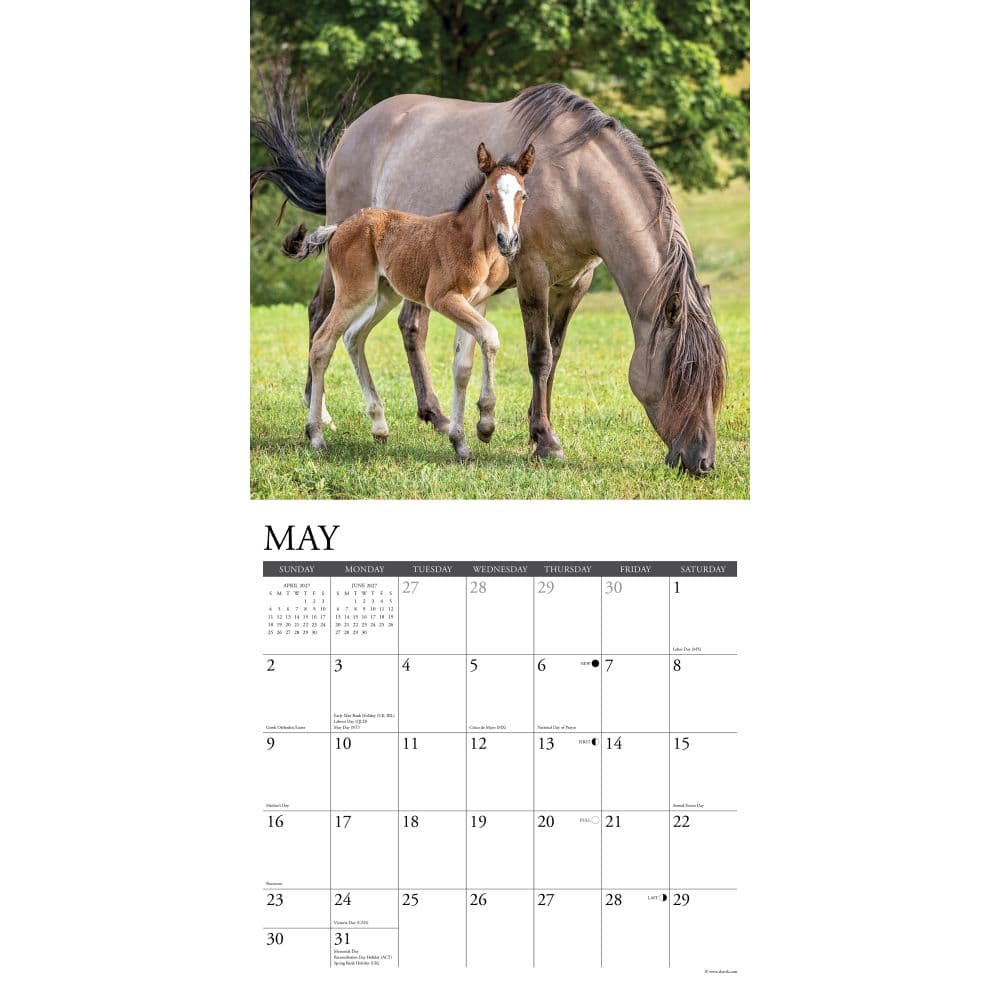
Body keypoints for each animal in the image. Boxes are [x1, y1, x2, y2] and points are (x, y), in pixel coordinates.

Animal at [281, 143, 535, 462]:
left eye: (522, 195)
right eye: (489, 195)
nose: (508, 241)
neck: (474, 244)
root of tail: (338, 227)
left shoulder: (477, 303)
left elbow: (462, 367)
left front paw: (461, 443)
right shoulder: (442, 298)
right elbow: (490, 336)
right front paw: (485, 426)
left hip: (385, 294)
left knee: (353, 337)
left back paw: (379, 425)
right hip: (354, 292)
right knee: (323, 343)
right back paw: (316, 435)